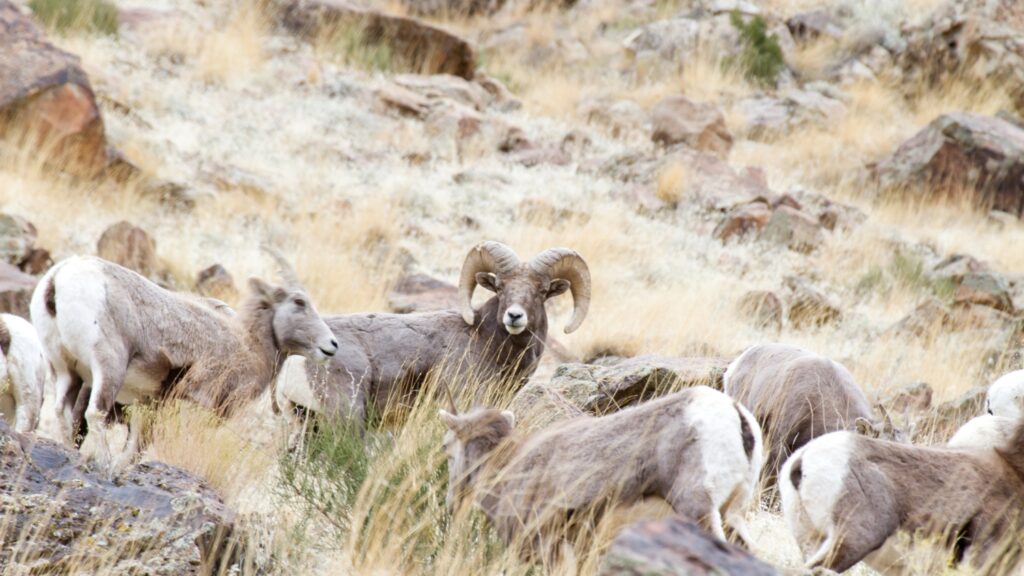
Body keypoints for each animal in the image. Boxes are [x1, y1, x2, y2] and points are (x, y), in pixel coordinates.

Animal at [29, 249, 335, 459]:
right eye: (299, 302)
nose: (331, 345)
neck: (247, 345)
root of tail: (58, 278)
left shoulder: (149, 406)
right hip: (107, 368)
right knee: (95, 414)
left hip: (65, 371)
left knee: (62, 413)